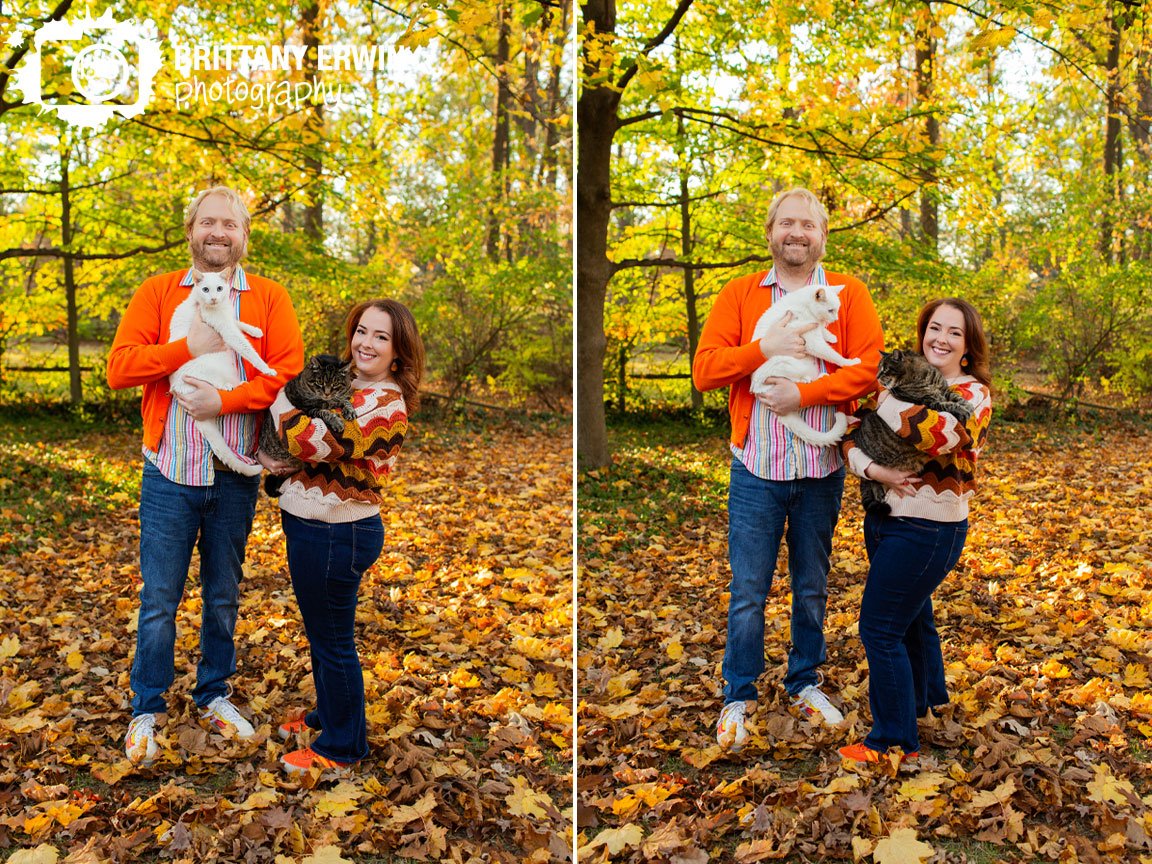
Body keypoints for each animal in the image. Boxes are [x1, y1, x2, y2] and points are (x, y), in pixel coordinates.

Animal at [167, 270, 276, 476]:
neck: (219, 307)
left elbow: (238, 322)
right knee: (215, 384)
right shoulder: (227, 331)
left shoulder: (229, 320)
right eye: (205, 289)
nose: (214, 298)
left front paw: (255, 331)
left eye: (219, 288)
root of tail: (176, 389)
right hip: (207, 369)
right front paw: (266, 368)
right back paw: (232, 385)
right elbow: (247, 349)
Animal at [261, 354, 354, 497]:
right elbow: (325, 411)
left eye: (335, 384)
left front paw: (349, 409)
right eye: (319, 383)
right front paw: (336, 421)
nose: (327, 393)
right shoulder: (308, 409)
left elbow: (344, 400)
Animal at [751, 284, 861, 449]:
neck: (806, 308)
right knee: (792, 380)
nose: (835, 319)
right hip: (784, 364)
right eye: (830, 310)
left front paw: (830, 336)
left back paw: (821, 376)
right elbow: (833, 355)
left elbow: (822, 331)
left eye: (837, 309)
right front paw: (849, 362)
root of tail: (757, 391)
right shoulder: (812, 342)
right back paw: (805, 380)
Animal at [857, 350, 972, 518]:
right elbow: (947, 404)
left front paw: (966, 404)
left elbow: (954, 396)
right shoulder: (928, 402)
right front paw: (962, 409)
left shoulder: (944, 390)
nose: (877, 377)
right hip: (874, 471)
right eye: (879, 369)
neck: (921, 377)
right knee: (872, 483)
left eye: (884, 369)